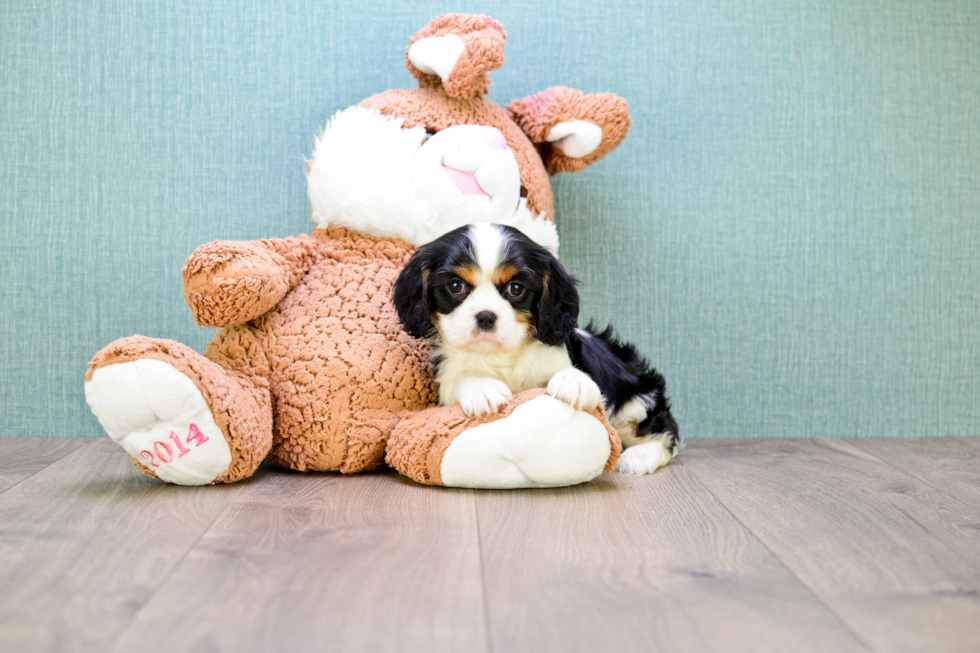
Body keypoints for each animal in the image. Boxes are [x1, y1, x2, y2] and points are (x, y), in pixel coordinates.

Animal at [390, 224, 680, 474]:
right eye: (455, 286)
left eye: (515, 288)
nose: (485, 316)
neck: (502, 354)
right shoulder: (447, 381)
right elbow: (463, 378)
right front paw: (482, 387)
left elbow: (564, 373)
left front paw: (573, 381)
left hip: (636, 401)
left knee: (665, 433)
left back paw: (639, 456)